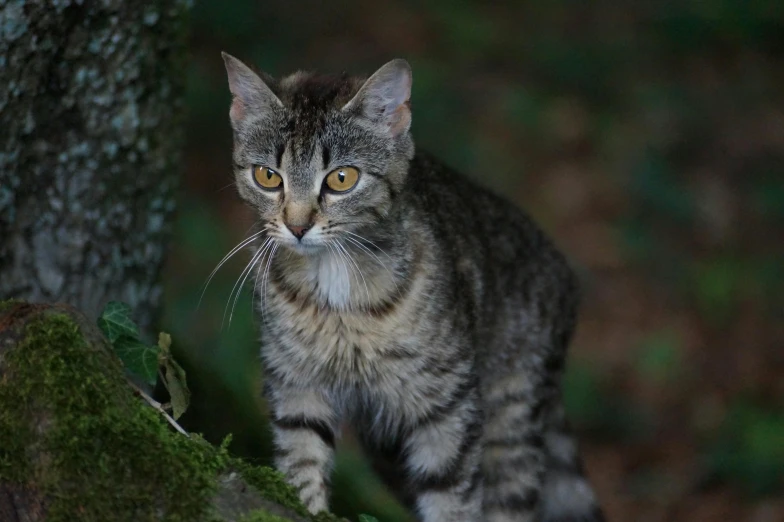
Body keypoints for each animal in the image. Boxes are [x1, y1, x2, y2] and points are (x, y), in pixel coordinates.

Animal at [220, 51, 608, 520]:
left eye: (342, 179)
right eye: (267, 176)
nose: (296, 226)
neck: (336, 292)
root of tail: (561, 271)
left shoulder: (445, 404)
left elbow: (451, 493)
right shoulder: (296, 383)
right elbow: (301, 464)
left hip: (512, 419)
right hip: (386, 446)